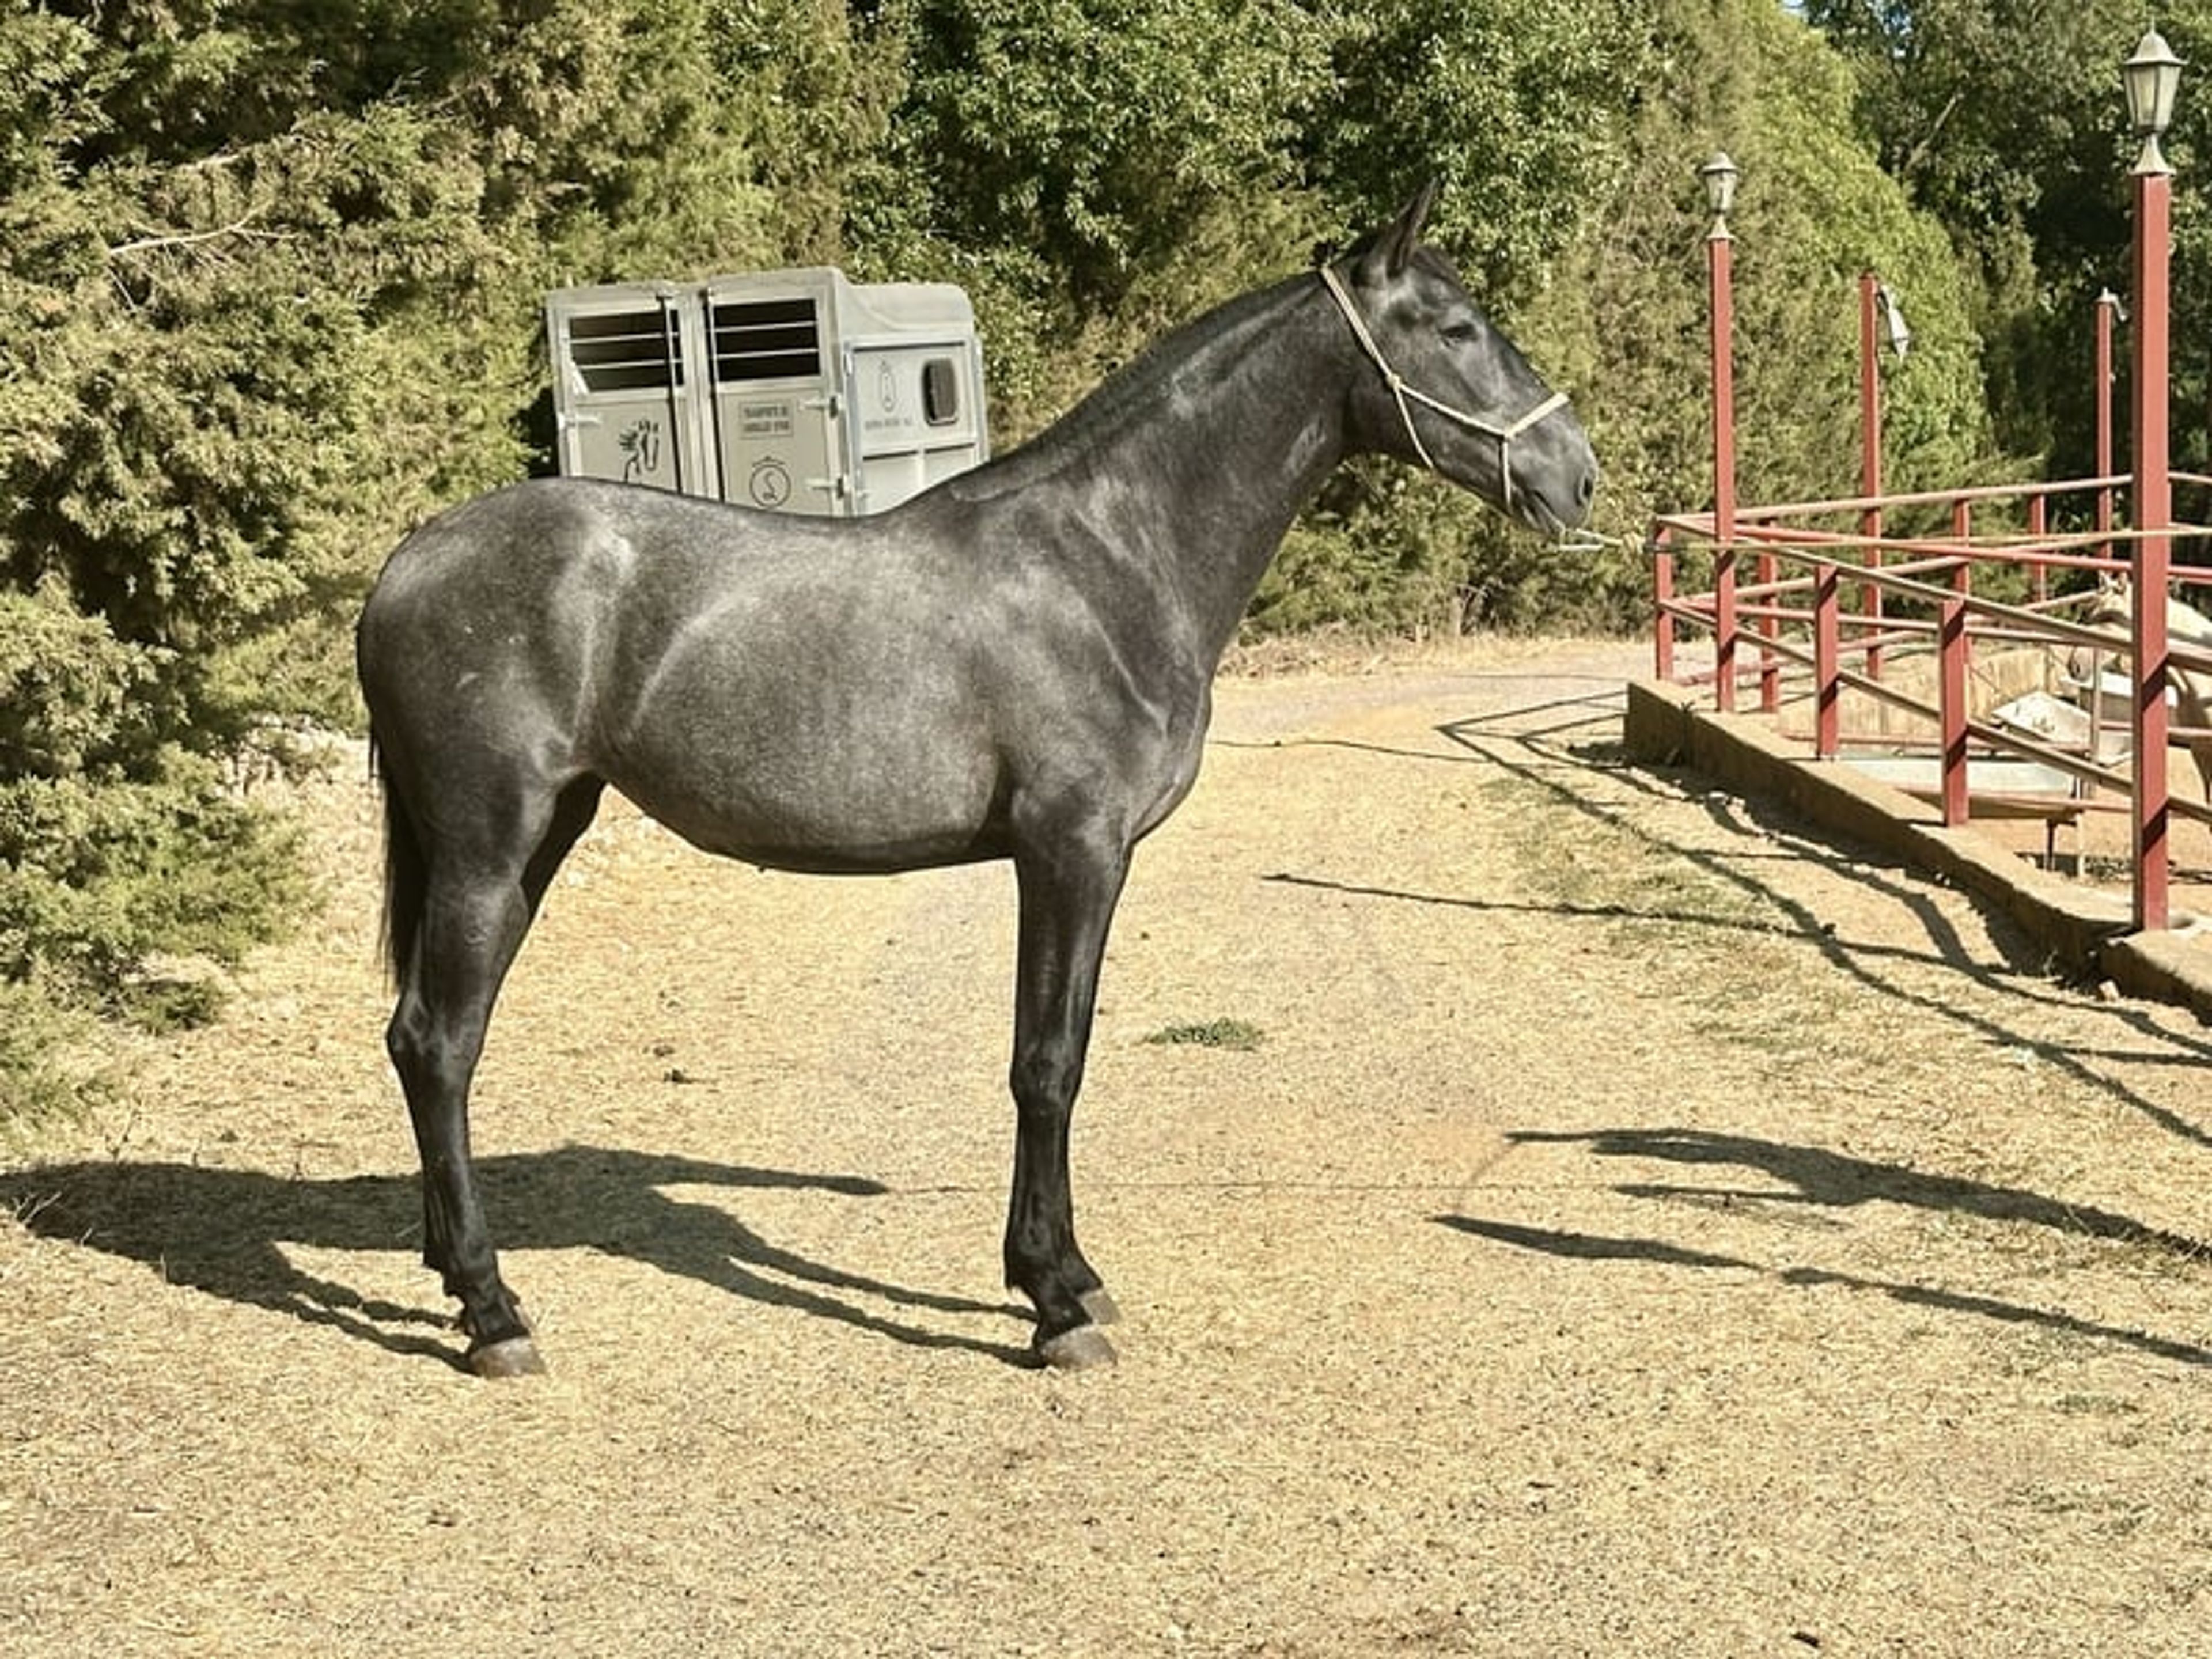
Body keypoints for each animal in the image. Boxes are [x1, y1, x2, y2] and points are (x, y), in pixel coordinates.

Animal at [355, 184, 1599, 1377]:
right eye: (1454, 328)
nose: (1577, 476)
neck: (1106, 563)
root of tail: (406, 561)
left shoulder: (1087, 861)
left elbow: (1066, 1049)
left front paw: (1071, 1274)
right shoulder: (1069, 850)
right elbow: (1046, 1064)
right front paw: (1054, 1305)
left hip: (541, 837)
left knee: (435, 1044)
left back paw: (455, 1276)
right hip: (488, 846)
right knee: (437, 1044)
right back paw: (493, 1312)